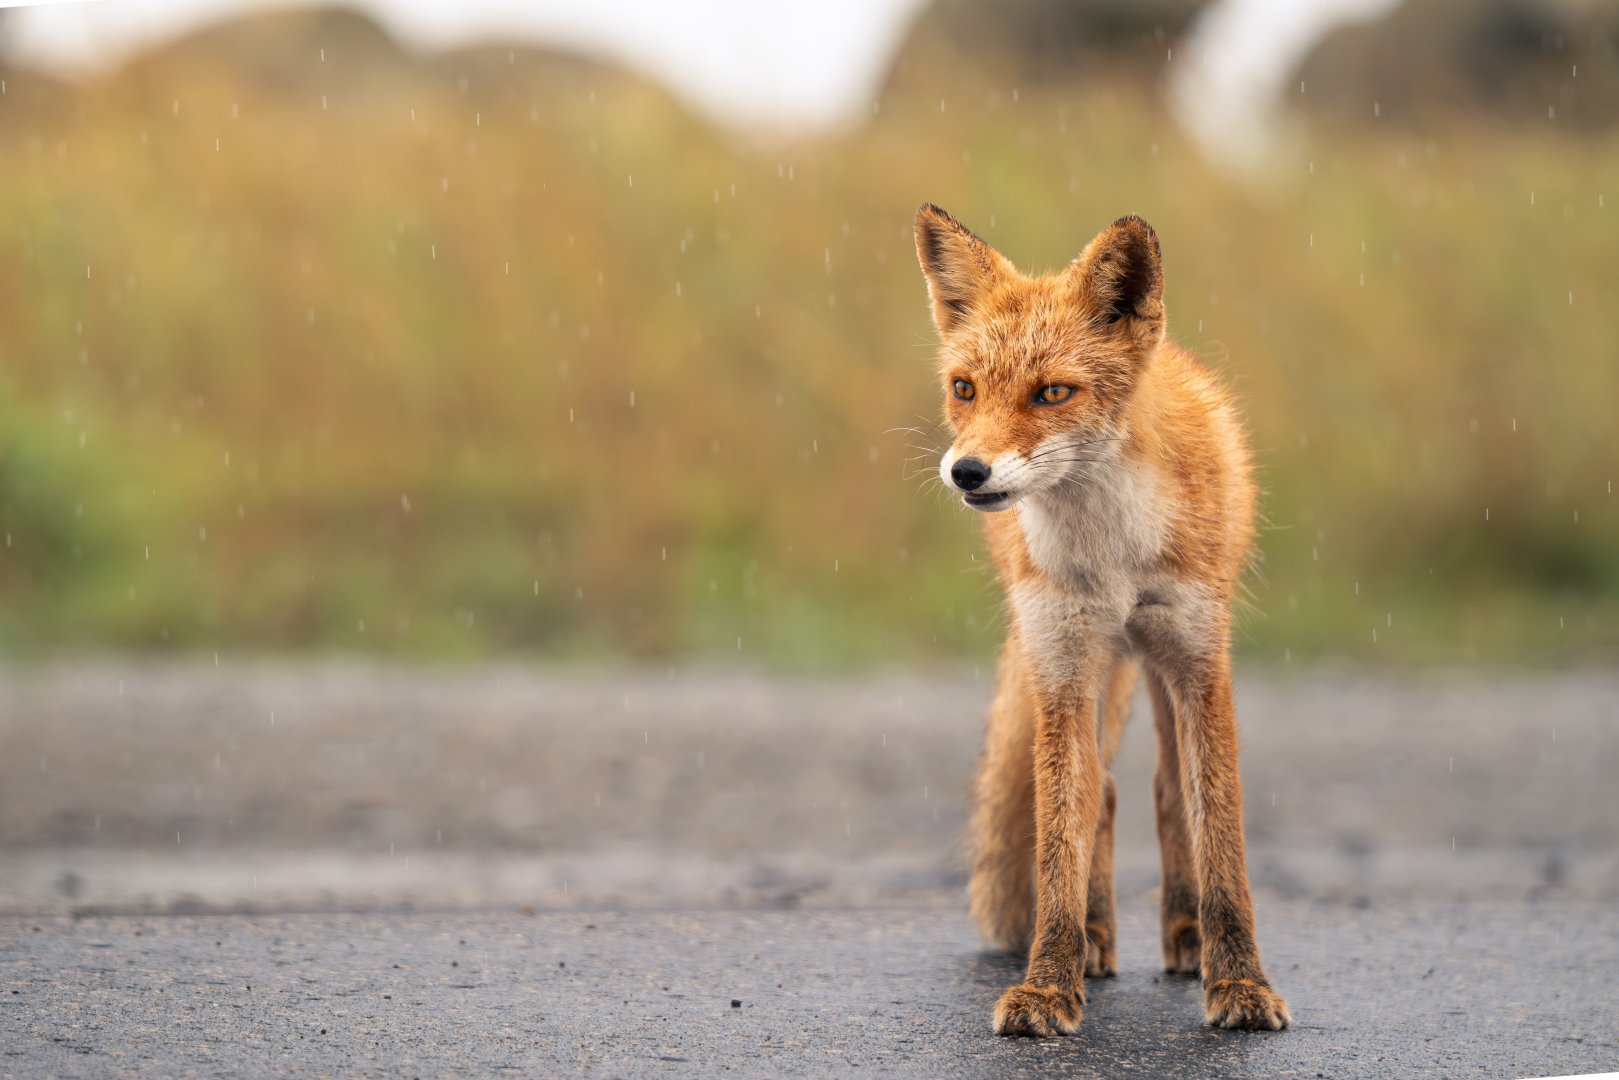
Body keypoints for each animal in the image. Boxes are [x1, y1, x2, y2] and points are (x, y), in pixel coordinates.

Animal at [912, 204, 1290, 1036]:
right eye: (964, 388)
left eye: (1052, 392)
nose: (966, 471)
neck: (1110, 553)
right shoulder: (1062, 663)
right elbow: (1060, 835)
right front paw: (1048, 984)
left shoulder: (1199, 659)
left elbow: (1219, 832)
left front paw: (1239, 983)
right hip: (1089, 666)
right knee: (1105, 795)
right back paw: (1091, 937)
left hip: (1155, 662)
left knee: (1164, 787)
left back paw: (1184, 935)